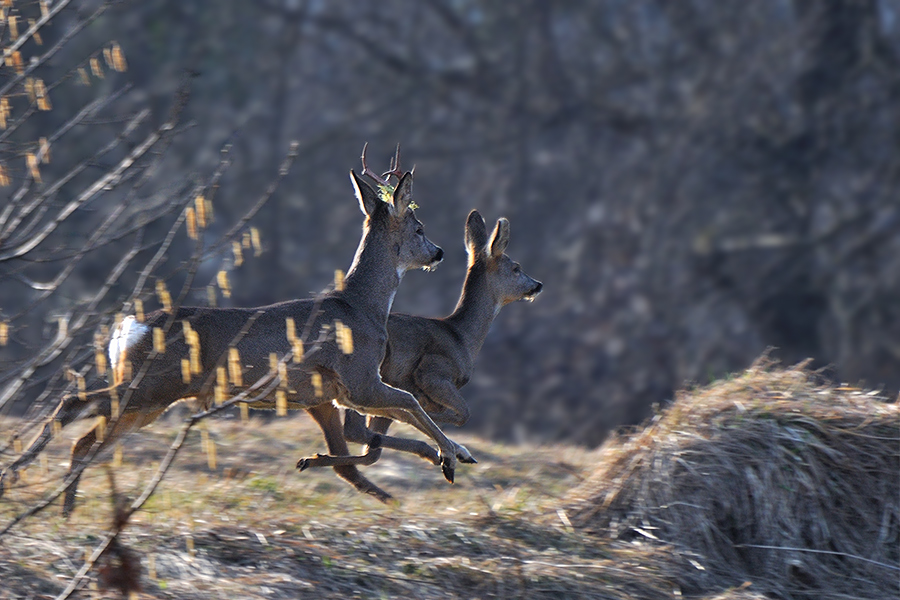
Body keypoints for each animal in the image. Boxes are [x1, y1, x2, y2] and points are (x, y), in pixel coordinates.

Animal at [0, 148, 474, 512]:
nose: (439, 251)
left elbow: (401, 413)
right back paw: (32, 483)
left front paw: (454, 453)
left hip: (151, 399)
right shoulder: (357, 379)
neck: (363, 307)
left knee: (82, 431)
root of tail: (129, 328)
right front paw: (450, 455)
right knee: (74, 410)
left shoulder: (342, 391)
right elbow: (410, 402)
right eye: (419, 228)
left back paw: (52, 498)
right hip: (152, 384)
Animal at [298, 209, 544, 500]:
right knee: (357, 431)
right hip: (364, 375)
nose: (537, 284)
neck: (461, 337)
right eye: (516, 267)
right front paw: (447, 448)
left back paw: (312, 460)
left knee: (359, 441)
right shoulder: (432, 373)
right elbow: (461, 414)